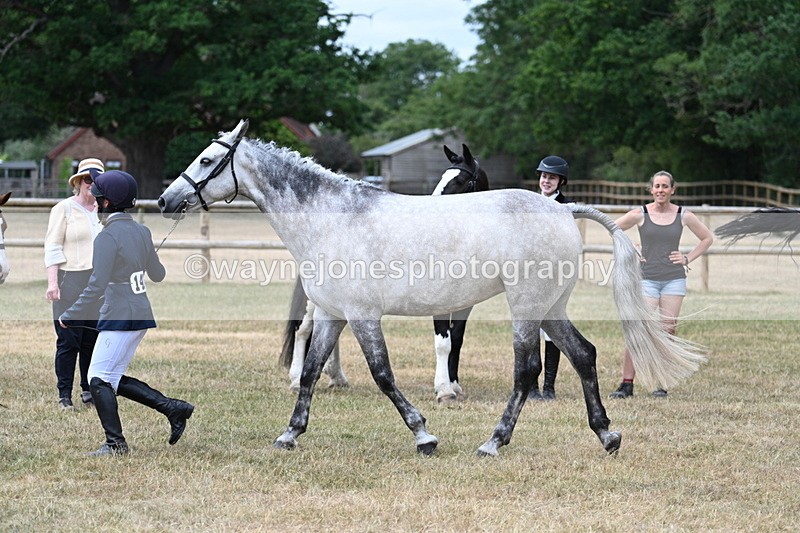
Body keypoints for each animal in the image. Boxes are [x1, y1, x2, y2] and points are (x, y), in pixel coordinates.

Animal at [279, 144, 490, 402]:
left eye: (460, 180)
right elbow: (444, 342)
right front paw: (443, 389)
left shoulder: (465, 303)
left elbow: (457, 339)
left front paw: (454, 384)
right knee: (302, 331)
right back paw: (296, 379)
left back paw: (337, 377)